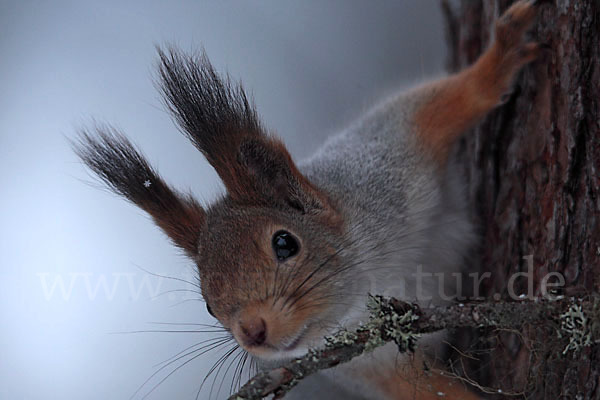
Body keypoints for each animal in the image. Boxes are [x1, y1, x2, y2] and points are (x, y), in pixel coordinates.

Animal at [75, 1, 544, 398]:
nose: (252, 332)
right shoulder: (378, 365)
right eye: (208, 304)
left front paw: (500, 57)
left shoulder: (388, 156)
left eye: (285, 243)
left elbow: (448, 102)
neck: (370, 285)